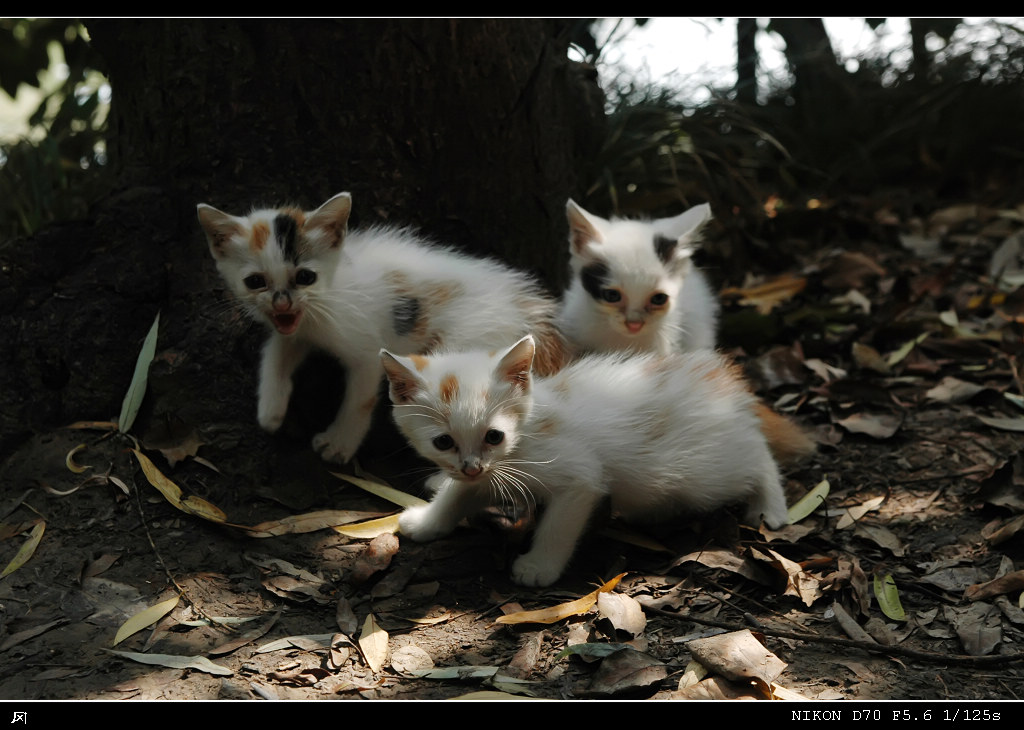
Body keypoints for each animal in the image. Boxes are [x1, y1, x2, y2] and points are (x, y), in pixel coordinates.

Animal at [197, 189, 569, 460]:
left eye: (305, 277)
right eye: (255, 282)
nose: (281, 301)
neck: (328, 296)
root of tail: (530, 311)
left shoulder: (363, 345)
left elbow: (361, 396)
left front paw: (340, 443)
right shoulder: (297, 329)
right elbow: (277, 351)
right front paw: (271, 410)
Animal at [380, 335, 786, 585]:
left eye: (494, 436)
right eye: (443, 442)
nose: (470, 466)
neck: (525, 434)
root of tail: (720, 377)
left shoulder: (580, 477)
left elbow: (559, 524)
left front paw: (539, 566)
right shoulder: (491, 473)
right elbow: (459, 493)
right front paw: (428, 521)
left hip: (708, 473)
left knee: (757, 454)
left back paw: (771, 506)